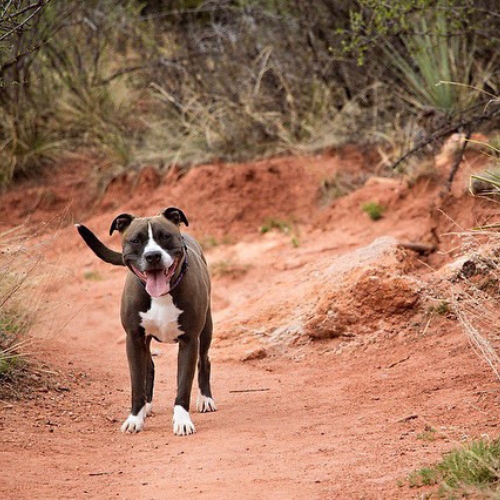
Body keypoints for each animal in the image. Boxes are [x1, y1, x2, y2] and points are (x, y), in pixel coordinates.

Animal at [75, 206, 216, 434]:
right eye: (135, 240)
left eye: (165, 236)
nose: (152, 256)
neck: (161, 295)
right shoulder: (134, 339)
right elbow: (136, 381)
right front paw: (135, 418)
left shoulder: (189, 340)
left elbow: (183, 384)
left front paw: (182, 421)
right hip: (146, 340)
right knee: (149, 367)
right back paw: (147, 407)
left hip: (206, 330)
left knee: (204, 361)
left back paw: (205, 399)